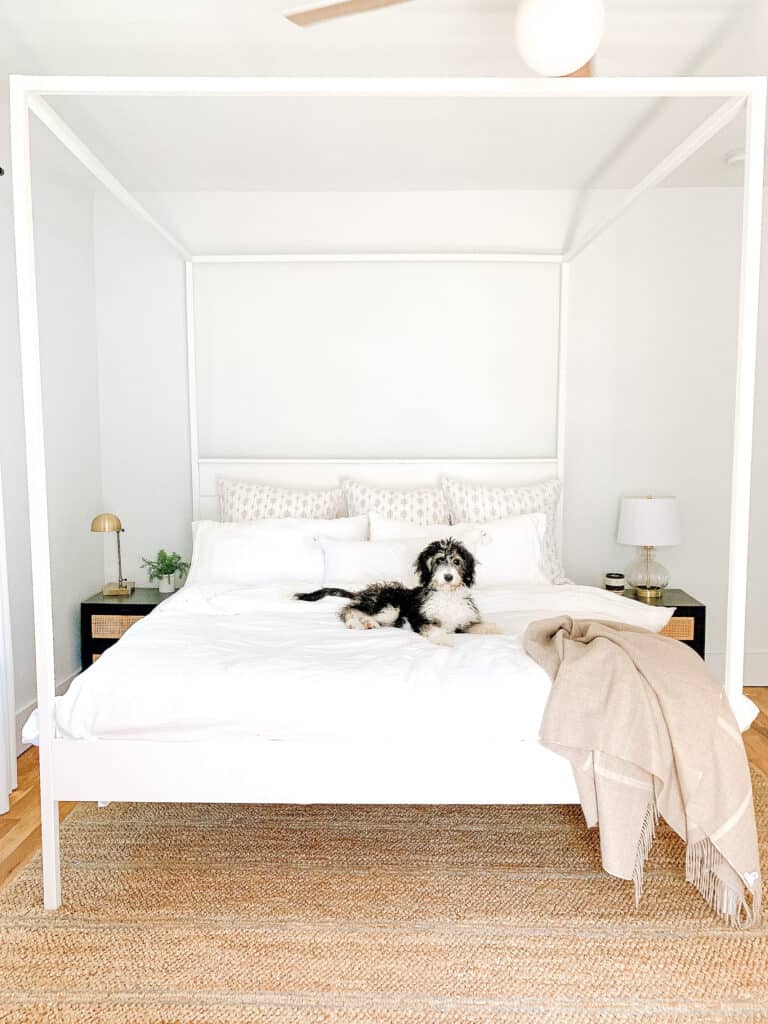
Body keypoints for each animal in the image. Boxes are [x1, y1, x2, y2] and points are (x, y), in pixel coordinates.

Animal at [296, 540, 505, 643]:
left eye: (456, 561)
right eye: (439, 560)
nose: (448, 577)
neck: (446, 594)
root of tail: (366, 592)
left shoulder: (463, 622)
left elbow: (481, 626)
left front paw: (499, 630)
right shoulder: (420, 618)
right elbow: (433, 629)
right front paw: (444, 639)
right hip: (389, 607)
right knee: (349, 610)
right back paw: (358, 623)